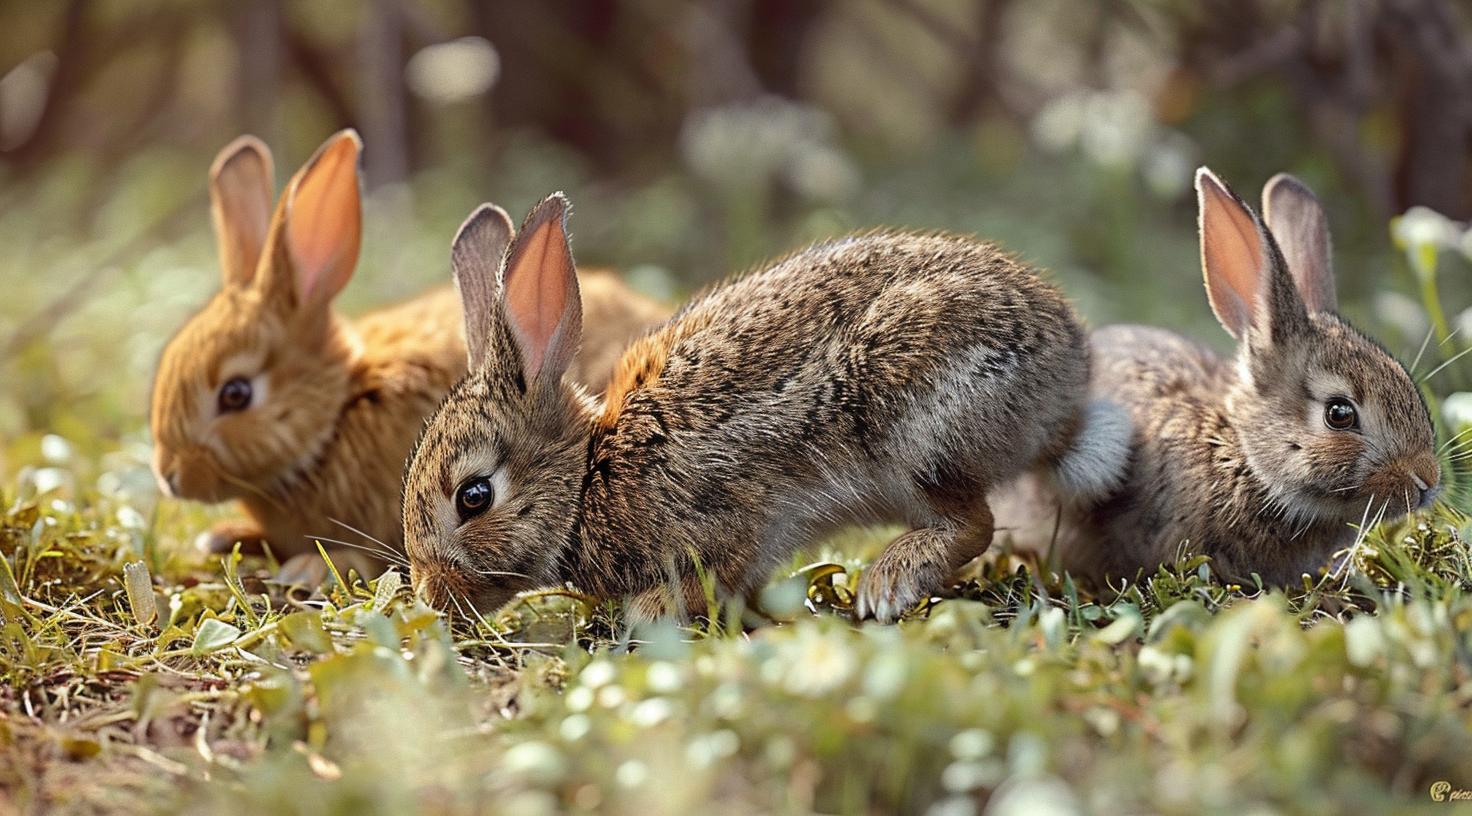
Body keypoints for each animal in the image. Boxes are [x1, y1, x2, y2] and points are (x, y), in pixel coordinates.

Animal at [397, 194, 1118, 618]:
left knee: (975, 523)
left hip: (914, 422)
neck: (588, 479)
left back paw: (887, 584)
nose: (432, 596)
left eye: (474, 497)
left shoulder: (728, 522)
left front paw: (652, 611)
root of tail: (1069, 380)